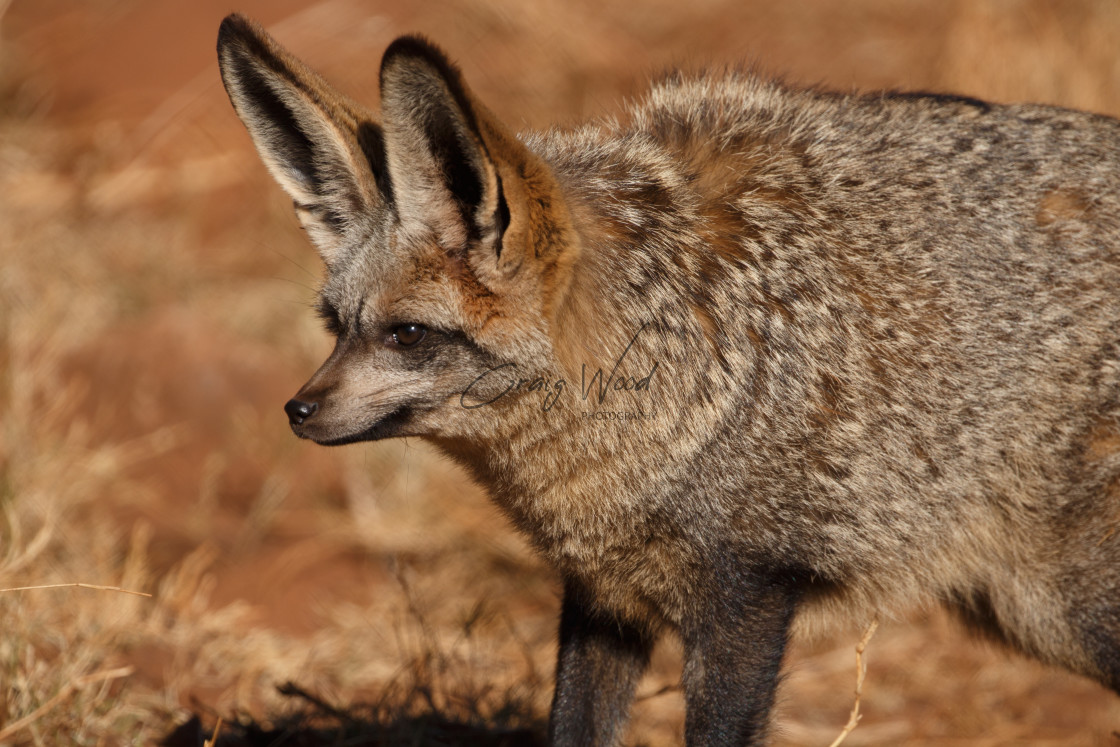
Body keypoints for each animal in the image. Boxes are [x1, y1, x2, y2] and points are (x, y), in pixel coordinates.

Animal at [213, 14, 1115, 743]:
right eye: (336, 324)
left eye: (408, 334)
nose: (299, 409)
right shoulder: (602, 594)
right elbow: (573, 728)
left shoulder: (747, 599)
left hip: (1065, 611)